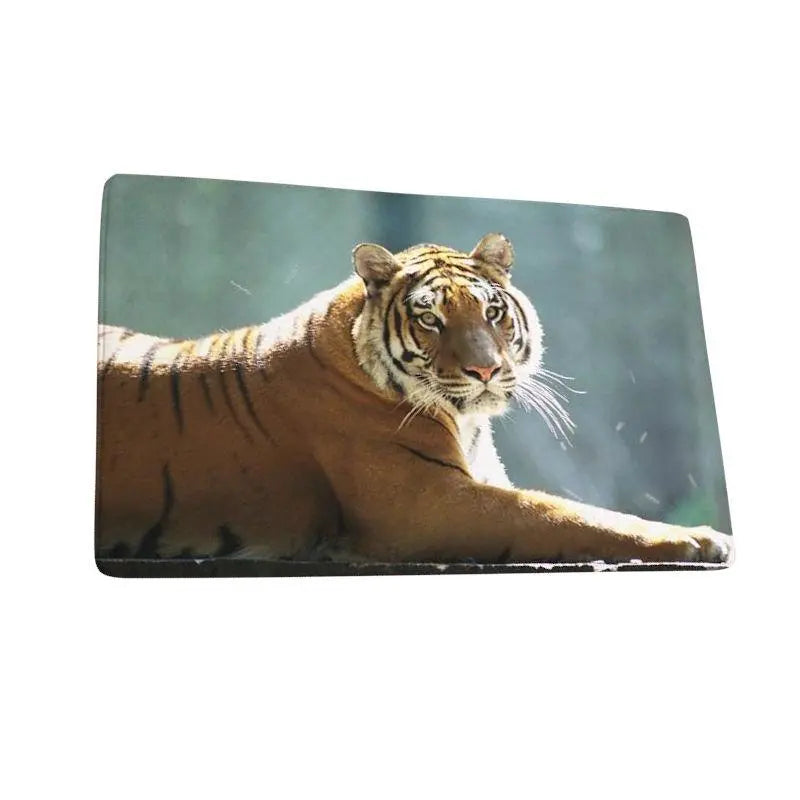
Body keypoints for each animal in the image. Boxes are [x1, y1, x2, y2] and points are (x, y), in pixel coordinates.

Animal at [96, 233, 732, 566]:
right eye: (430, 318)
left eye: (492, 312)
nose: (484, 369)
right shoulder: (427, 502)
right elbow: (562, 512)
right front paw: (695, 537)